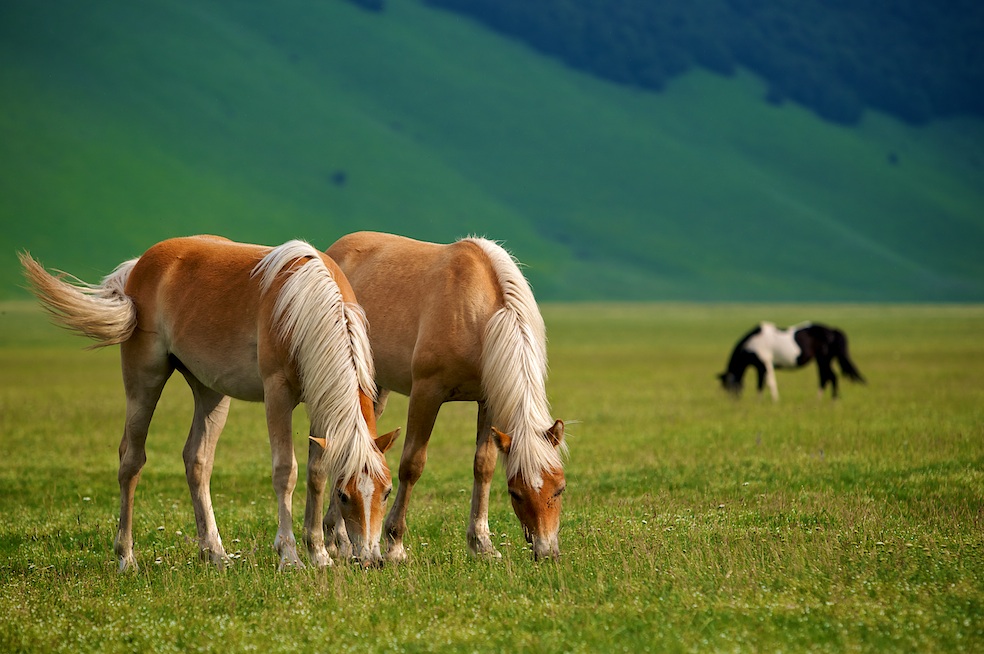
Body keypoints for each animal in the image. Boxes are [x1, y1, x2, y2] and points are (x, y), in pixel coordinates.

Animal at [19, 238, 398, 572]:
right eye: (345, 496)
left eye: (387, 491)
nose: (371, 559)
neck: (306, 302)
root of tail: (139, 265)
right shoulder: (278, 395)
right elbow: (285, 471)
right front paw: (289, 555)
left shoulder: (319, 398)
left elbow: (316, 473)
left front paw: (319, 553)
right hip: (144, 381)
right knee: (131, 460)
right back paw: (126, 557)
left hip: (211, 393)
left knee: (197, 461)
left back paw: (214, 552)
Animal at [326, 232, 564, 564]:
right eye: (515, 493)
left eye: (560, 488)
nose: (546, 551)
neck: (476, 314)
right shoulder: (426, 393)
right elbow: (412, 466)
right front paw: (394, 544)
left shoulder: (487, 401)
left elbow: (484, 466)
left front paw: (481, 544)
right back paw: (339, 539)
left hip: (375, 388)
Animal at [720, 322, 864, 402]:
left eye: (728, 386)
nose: (732, 400)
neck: (750, 344)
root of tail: (832, 330)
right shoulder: (760, 366)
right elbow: (762, 383)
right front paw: (761, 400)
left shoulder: (765, 362)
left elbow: (768, 382)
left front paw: (773, 400)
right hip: (823, 359)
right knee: (827, 377)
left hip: (823, 358)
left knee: (829, 377)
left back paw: (825, 400)